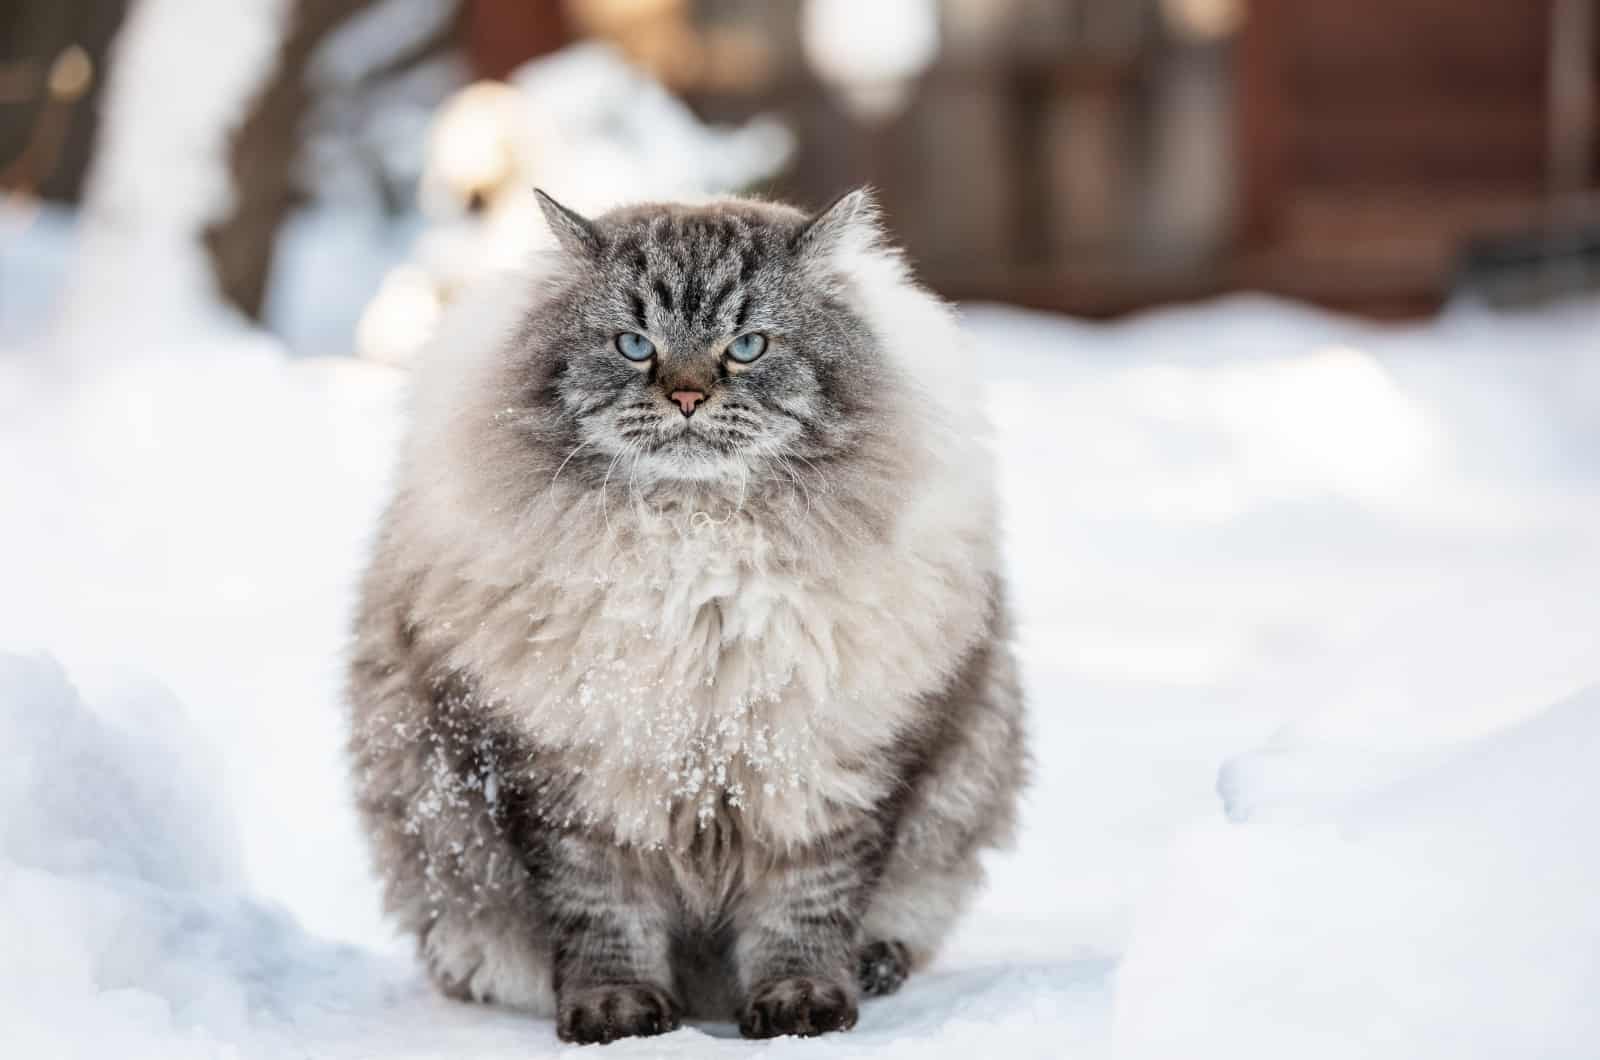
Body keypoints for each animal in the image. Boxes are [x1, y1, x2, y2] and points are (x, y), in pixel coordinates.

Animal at [347, 186, 1024, 1043]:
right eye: (635, 345)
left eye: (749, 346)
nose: (688, 395)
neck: (695, 550)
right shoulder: (570, 779)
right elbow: (603, 917)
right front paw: (618, 1017)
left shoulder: (826, 767)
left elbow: (804, 913)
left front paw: (802, 1009)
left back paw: (875, 968)